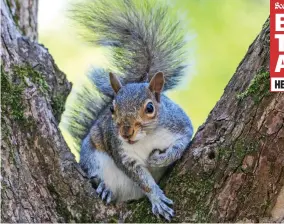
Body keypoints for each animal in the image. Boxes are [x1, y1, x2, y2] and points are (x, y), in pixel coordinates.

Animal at [66, 0, 193, 220]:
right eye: (112, 108)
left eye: (150, 108)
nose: (126, 132)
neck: (146, 138)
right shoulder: (123, 154)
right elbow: (142, 180)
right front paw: (157, 199)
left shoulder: (180, 125)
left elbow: (181, 145)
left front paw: (159, 159)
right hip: (92, 157)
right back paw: (104, 188)